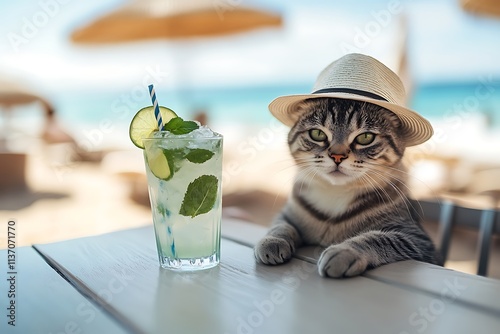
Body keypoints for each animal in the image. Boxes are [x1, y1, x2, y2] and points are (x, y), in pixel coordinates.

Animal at [254, 98, 442, 278]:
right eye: (317, 134)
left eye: (365, 137)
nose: (337, 156)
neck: (335, 192)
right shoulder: (288, 214)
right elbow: (281, 225)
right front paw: (271, 240)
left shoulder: (416, 238)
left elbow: (379, 238)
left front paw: (344, 251)